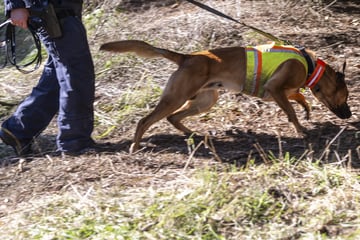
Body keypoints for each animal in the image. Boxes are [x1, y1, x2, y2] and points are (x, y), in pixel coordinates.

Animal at [100, 39, 352, 152]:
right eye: (346, 96)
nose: (349, 115)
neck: (310, 66)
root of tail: (186, 57)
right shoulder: (275, 90)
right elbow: (291, 111)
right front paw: (301, 130)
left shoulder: (278, 93)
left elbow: (299, 98)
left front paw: (307, 111)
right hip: (177, 98)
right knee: (145, 120)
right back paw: (135, 147)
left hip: (205, 101)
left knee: (174, 118)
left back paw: (194, 135)